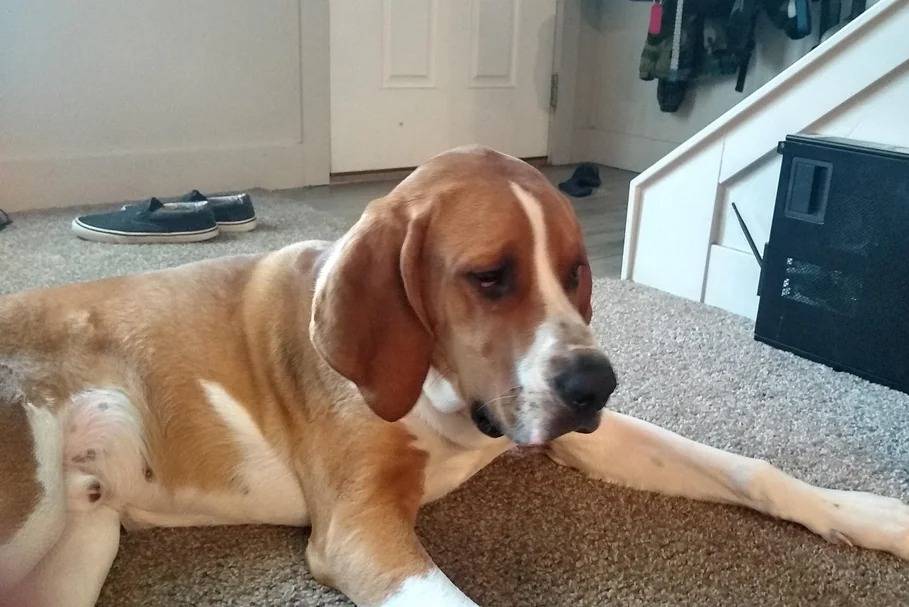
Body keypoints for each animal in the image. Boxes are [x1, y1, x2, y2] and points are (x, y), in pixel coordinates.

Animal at [1, 147, 907, 607]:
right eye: (489, 277)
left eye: (576, 271)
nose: (596, 384)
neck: (439, 393)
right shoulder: (359, 528)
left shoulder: (574, 433)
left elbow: (746, 468)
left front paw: (869, 514)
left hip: (81, 540)